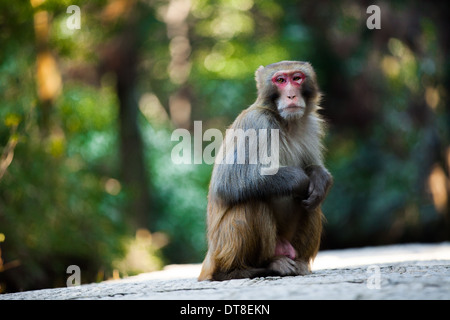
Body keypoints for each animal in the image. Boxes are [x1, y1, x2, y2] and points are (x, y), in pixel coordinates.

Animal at [199, 61, 332, 282]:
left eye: (297, 78)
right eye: (280, 80)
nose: (291, 95)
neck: (286, 123)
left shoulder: (311, 125)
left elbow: (315, 176)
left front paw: (320, 177)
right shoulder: (256, 124)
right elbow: (226, 183)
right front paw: (301, 180)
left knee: (314, 204)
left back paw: (300, 263)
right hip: (224, 249)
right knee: (251, 201)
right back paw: (244, 270)